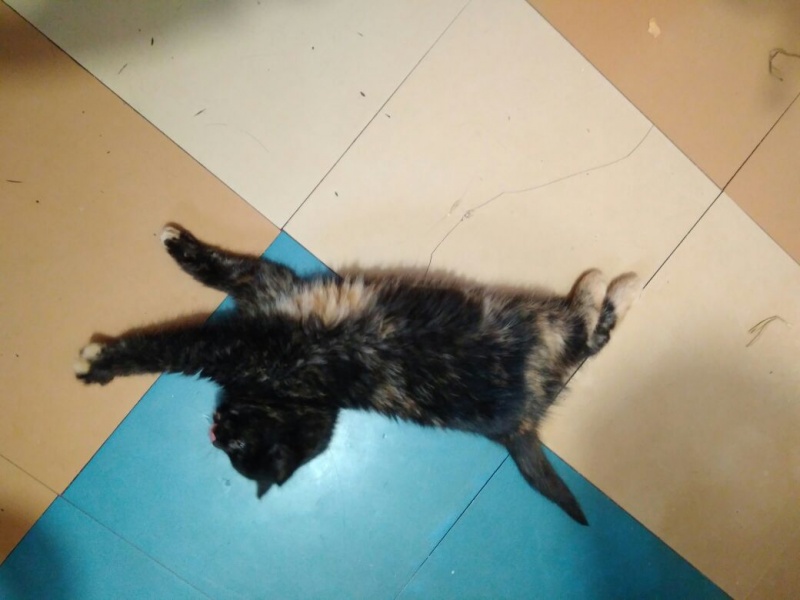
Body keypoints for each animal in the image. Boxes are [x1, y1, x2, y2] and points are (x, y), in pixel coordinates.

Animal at [75, 224, 640, 525]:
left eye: (238, 447)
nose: (214, 434)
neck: (304, 392)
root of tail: (522, 426)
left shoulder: (248, 344)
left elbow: (171, 346)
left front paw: (99, 362)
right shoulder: (270, 284)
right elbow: (227, 266)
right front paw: (181, 245)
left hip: (530, 337)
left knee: (585, 333)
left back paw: (604, 286)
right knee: (591, 338)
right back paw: (613, 286)